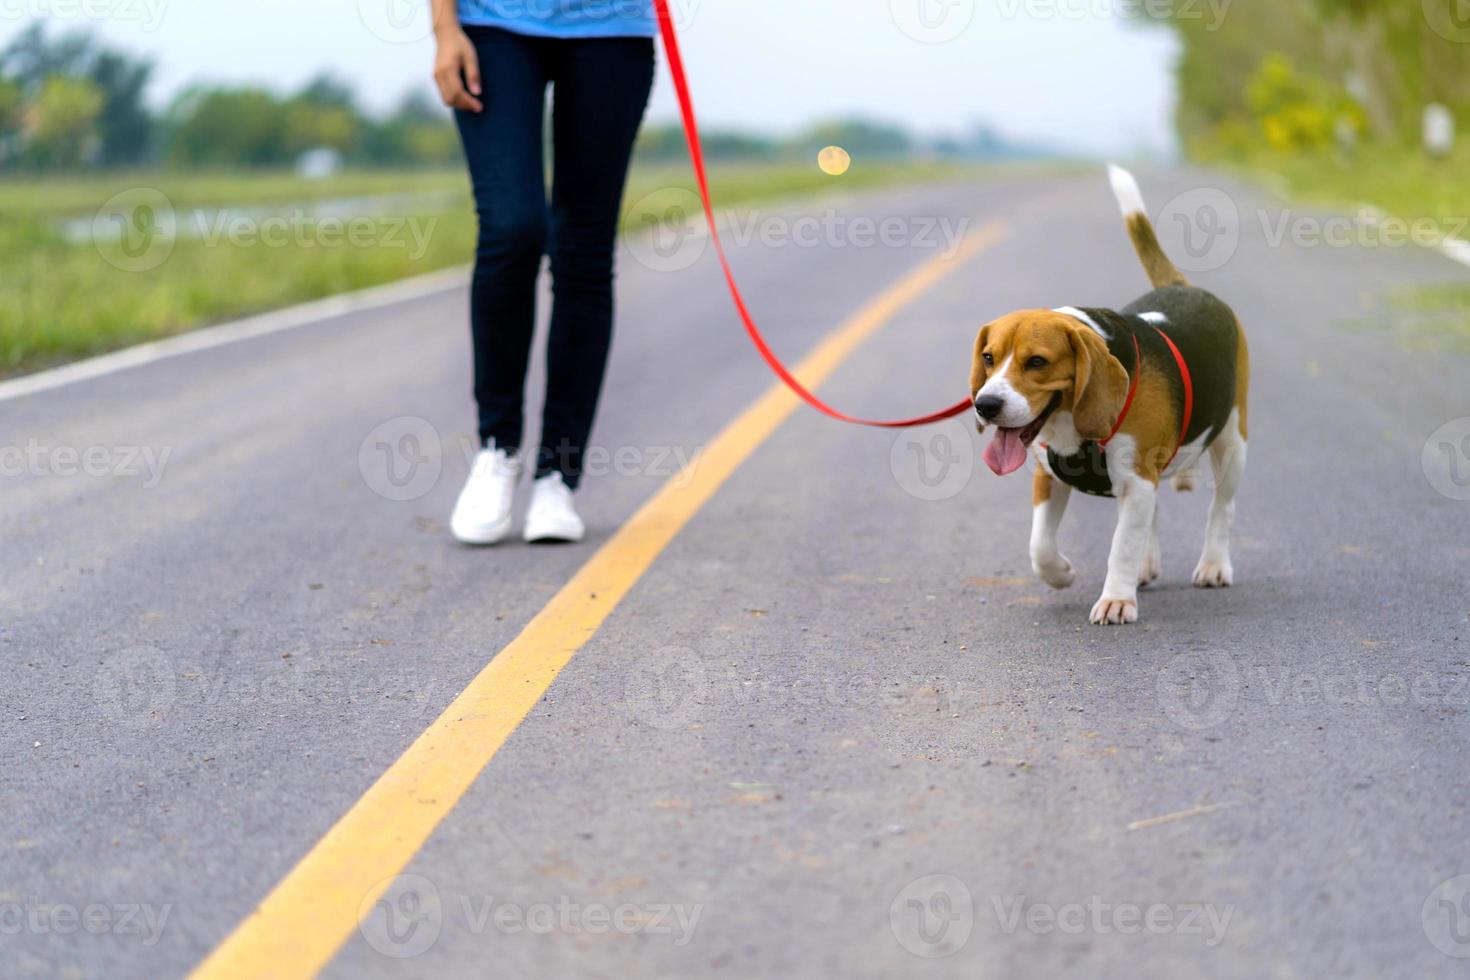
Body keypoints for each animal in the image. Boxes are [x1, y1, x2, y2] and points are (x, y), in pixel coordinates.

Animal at [976, 166, 1252, 628]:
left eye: (1037, 362)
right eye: (988, 357)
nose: (985, 405)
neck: (1070, 426)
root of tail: (1184, 287)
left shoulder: (1136, 480)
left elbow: (1121, 546)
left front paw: (1117, 600)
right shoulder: (1048, 479)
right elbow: (1039, 547)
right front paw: (1062, 573)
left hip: (1232, 442)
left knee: (1223, 508)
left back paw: (1214, 565)